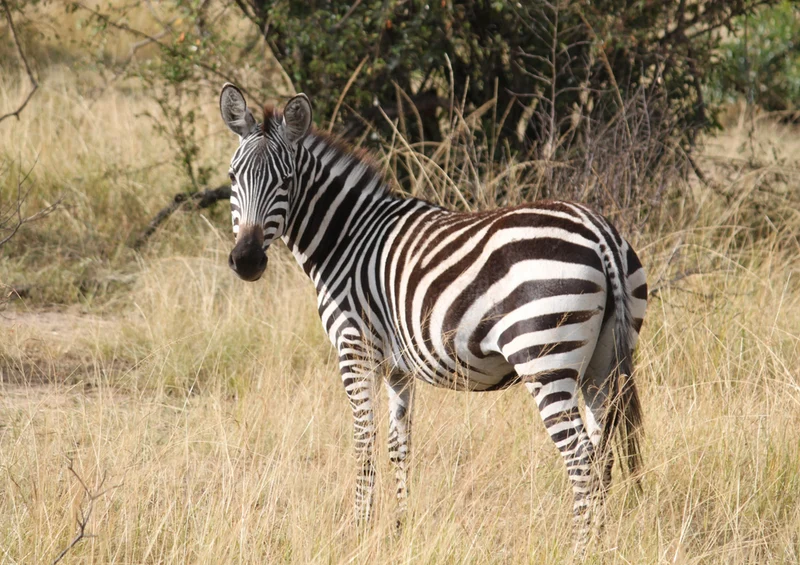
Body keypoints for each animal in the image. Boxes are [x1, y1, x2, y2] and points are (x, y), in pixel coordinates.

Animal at [219, 84, 648, 553]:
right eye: (232, 178)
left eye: (286, 181)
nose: (247, 261)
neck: (347, 238)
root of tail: (598, 231)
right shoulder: (396, 366)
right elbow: (398, 443)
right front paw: (399, 528)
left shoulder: (355, 349)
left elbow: (363, 440)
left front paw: (359, 529)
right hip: (601, 364)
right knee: (602, 453)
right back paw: (602, 544)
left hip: (545, 357)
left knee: (581, 460)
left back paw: (578, 548)